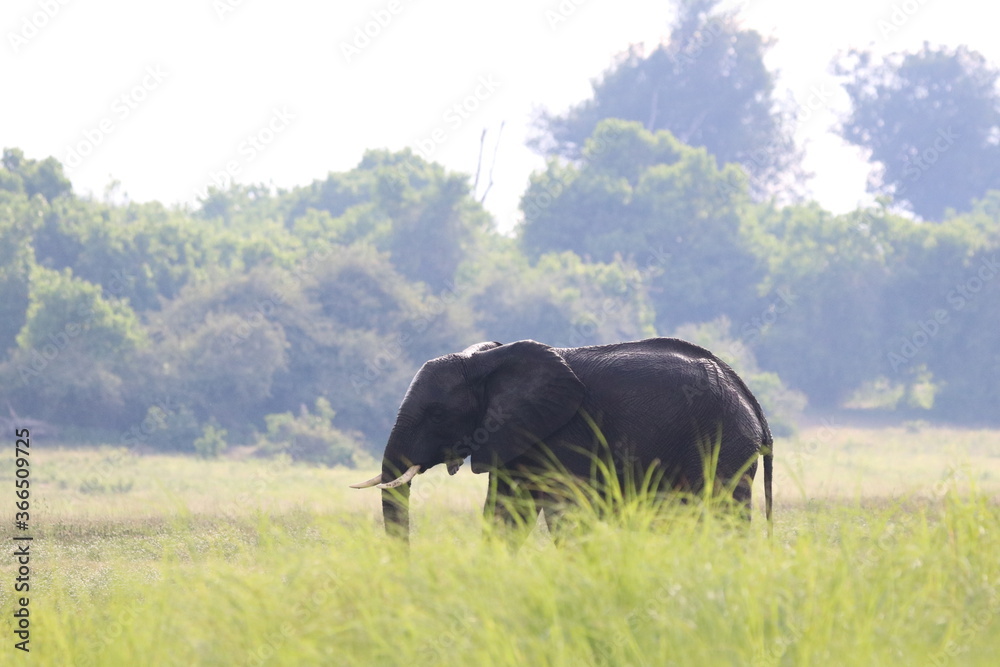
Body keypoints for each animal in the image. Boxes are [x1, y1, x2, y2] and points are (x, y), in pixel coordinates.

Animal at [351, 338, 773, 542]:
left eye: (436, 414)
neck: (487, 363)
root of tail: (750, 398)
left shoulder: (566, 431)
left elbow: (567, 510)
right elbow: (506, 511)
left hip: (723, 441)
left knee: (722, 512)